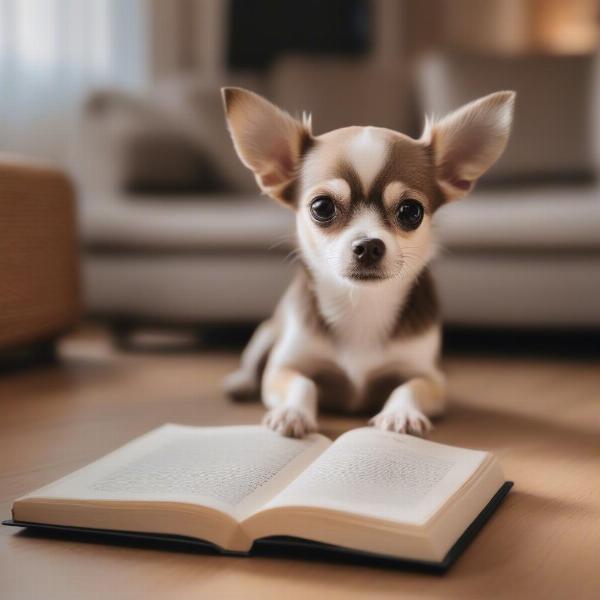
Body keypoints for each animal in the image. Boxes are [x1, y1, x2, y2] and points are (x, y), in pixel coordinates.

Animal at [220, 86, 516, 438]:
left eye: (411, 211)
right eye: (321, 207)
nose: (369, 246)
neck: (361, 303)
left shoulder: (430, 379)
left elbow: (409, 386)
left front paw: (401, 414)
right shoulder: (283, 368)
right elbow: (302, 383)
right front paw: (292, 412)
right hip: (267, 331)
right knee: (253, 361)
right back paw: (239, 381)